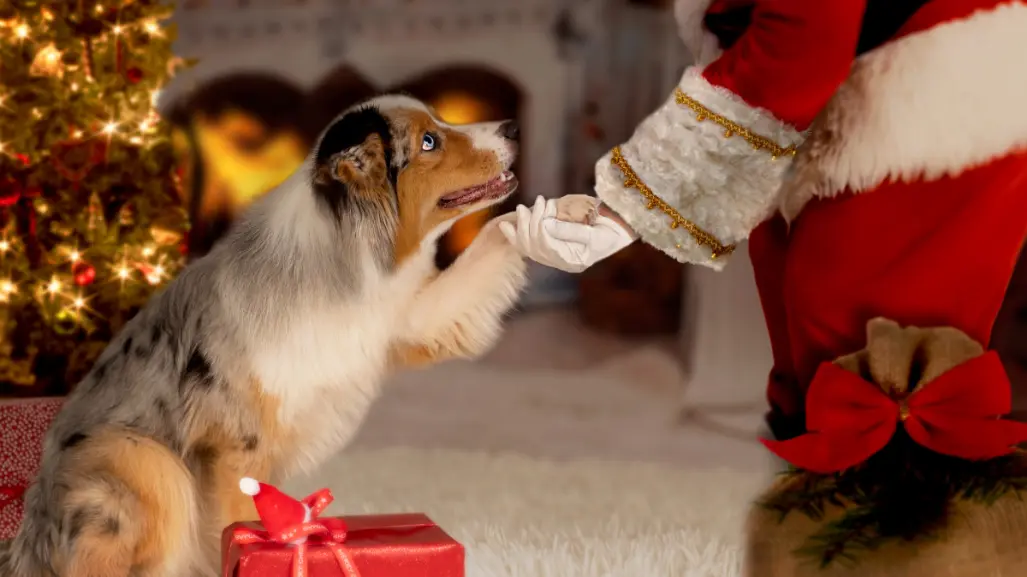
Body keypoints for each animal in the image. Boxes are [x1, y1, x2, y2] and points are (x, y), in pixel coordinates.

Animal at [0, 95, 595, 574]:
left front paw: (557, 216)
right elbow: (234, 524)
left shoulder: (401, 315)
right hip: (144, 460)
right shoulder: (234, 444)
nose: (514, 127)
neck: (340, 252)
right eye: (429, 140)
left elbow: (495, 236)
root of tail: (25, 539)